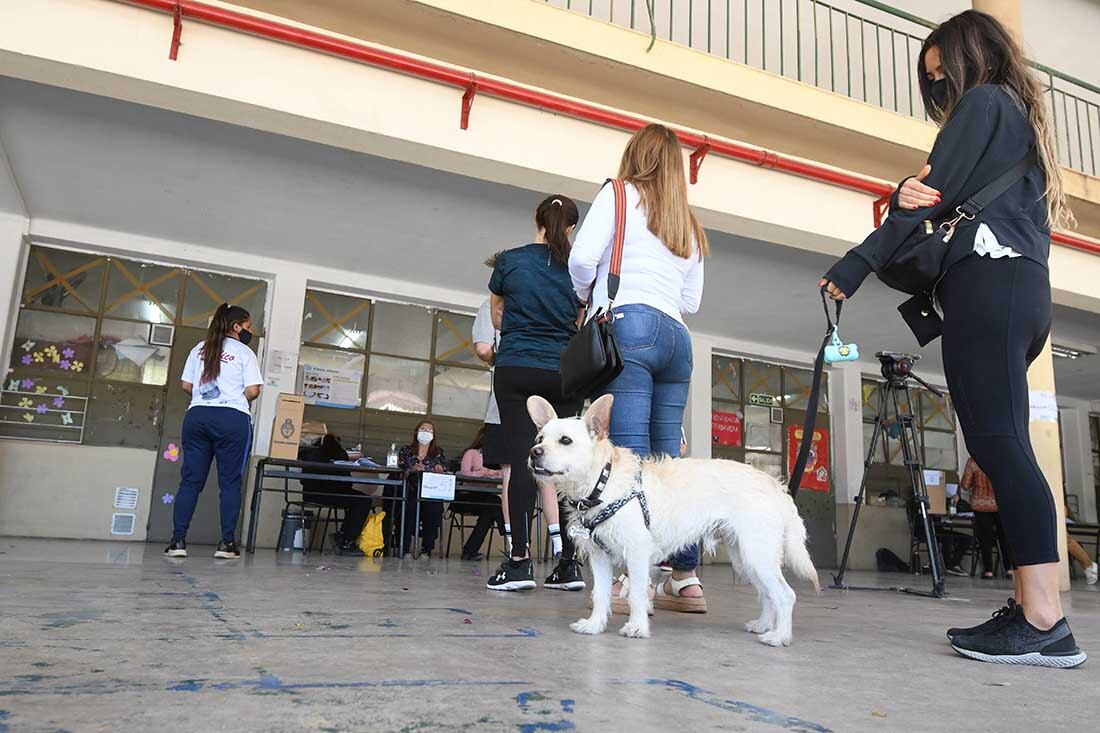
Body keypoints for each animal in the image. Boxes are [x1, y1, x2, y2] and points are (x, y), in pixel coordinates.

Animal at [523, 394, 818, 638]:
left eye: (565, 441)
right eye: (539, 440)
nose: (534, 453)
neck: (602, 485)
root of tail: (776, 485)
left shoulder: (637, 553)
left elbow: (637, 593)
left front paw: (637, 627)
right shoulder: (599, 557)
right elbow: (600, 595)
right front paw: (595, 625)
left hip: (757, 555)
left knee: (785, 595)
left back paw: (779, 637)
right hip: (747, 559)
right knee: (768, 594)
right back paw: (764, 626)